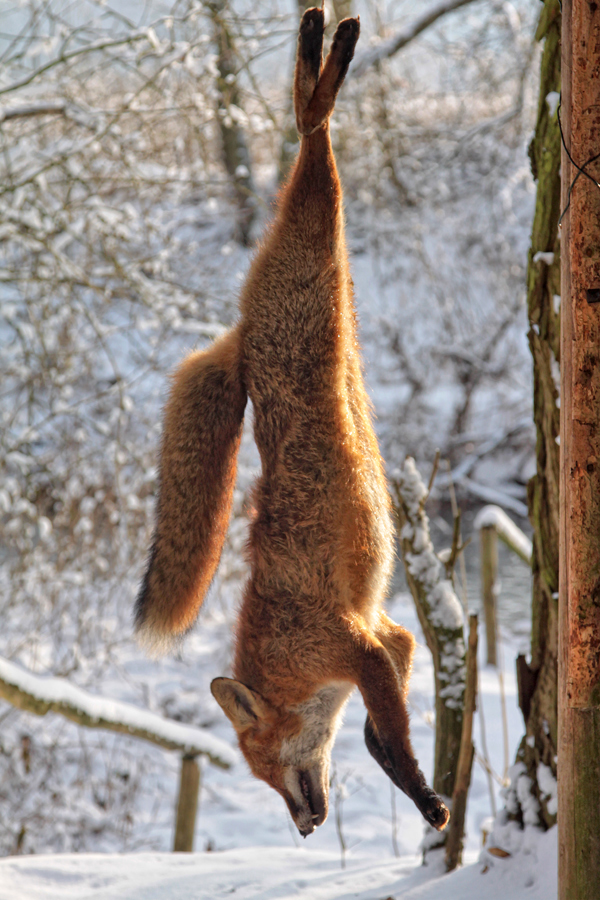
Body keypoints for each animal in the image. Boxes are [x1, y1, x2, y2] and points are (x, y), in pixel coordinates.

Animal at [134, 7, 448, 836]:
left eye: (266, 766)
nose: (303, 825)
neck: (286, 652)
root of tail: (240, 332)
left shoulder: (358, 648)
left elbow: (390, 737)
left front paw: (423, 794)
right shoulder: (387, 636)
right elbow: (378, 728)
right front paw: (410, 782)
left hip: (313, 234)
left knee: (312, 133)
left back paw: (323, 54)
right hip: (320, 248)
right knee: (315, 124)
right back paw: (322, 47)